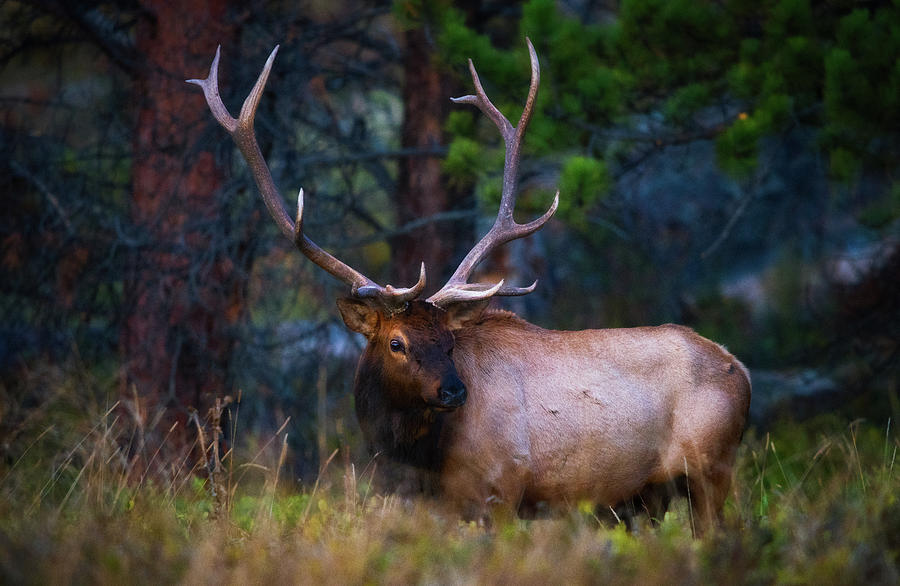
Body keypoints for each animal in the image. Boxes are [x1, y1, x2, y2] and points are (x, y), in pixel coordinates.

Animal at [190, 36, 752, 528]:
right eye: (396, 342)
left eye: (449, 342)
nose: (454, 390)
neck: (420, 460)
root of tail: (742, 370)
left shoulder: (501, 491)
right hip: (649, 496)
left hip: (711, 470)